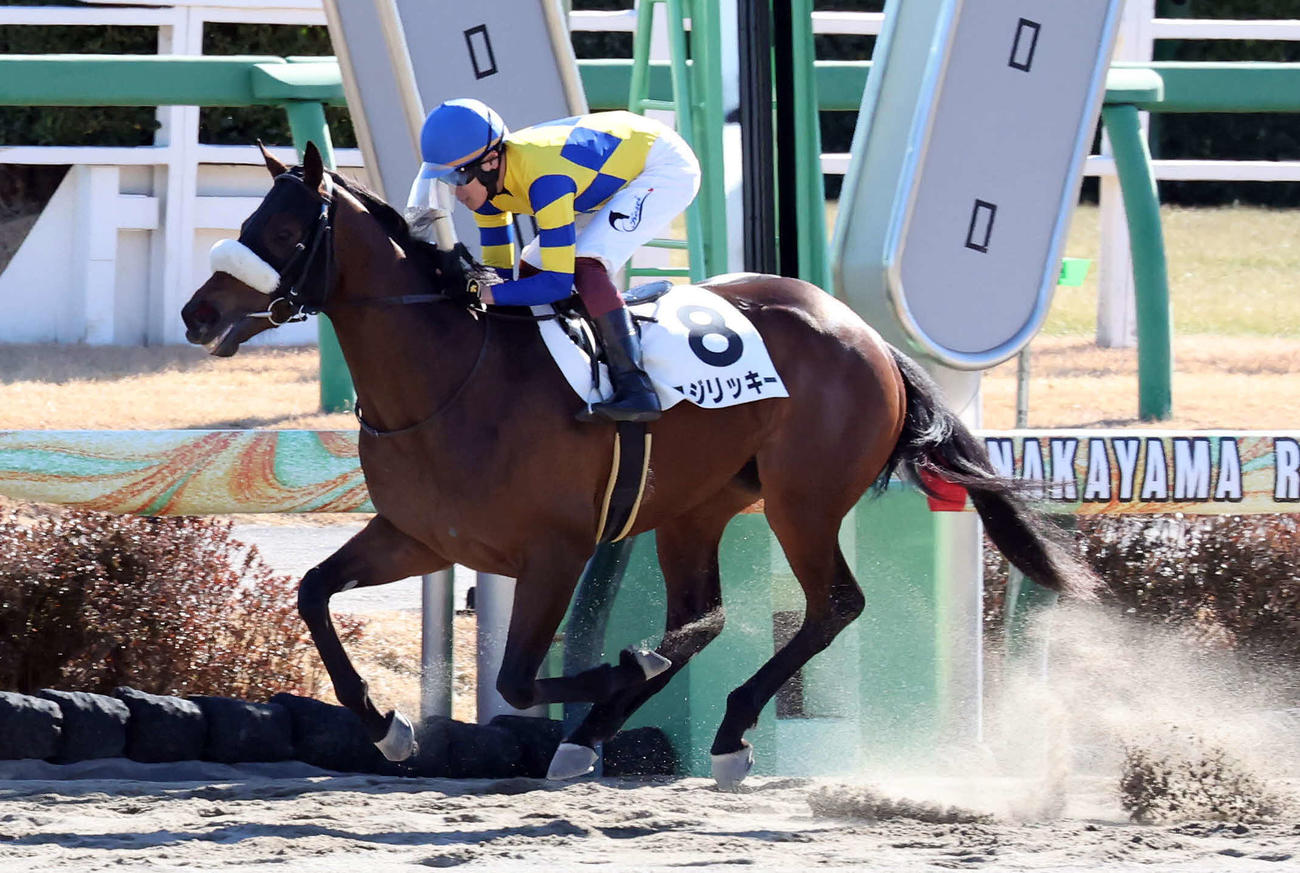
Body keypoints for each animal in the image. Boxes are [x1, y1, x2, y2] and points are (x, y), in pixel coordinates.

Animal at [181, 142, 1100, 787]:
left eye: (284, 231)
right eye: (249, 221)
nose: (197, 313)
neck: (451, 376)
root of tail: (866, 334)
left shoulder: (554, 552)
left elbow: (521, 678)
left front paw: (619, 671)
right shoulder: (420, 536)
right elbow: (313, 593)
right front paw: (387, 723)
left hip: (802, 500)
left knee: (832, 604)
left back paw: (722, 729)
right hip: (698, 509)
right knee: (709, 615)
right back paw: (616, 731)